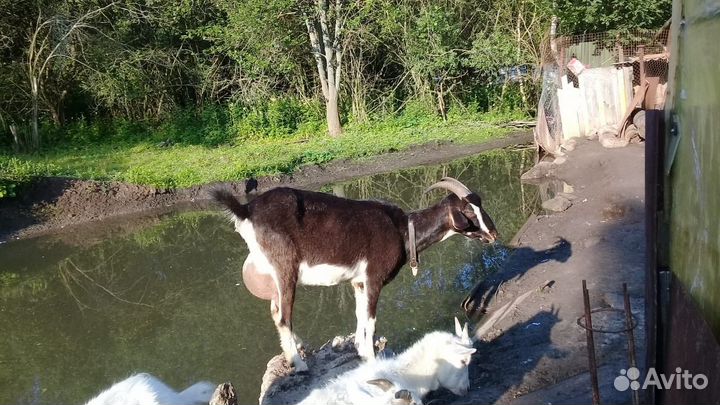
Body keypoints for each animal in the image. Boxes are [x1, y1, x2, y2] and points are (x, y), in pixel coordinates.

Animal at [212, 177, 497, 371]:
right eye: (469, 212)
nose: (493, 234)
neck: (403, 230)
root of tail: (246, 210)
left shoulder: (358, 282)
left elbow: (359, 314)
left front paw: (360, 349)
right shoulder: (373, 278)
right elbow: (371, 319)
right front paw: (371, 357)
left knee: (275, 311)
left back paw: (300, 348)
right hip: (284, 267)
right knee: (283, 316)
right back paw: (299, 364)